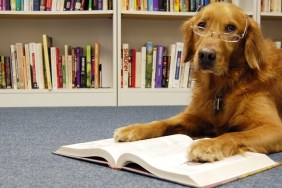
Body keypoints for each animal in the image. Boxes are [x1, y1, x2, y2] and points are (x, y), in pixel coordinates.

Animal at [113, 1, 282, 163]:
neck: (221, 87)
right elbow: (164, 122)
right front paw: (135, 129)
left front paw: (209, 144)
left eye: (230, 28)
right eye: (201, 25)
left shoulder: (274, 127)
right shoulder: (194, 116)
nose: (206, 55)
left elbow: (234, 135)